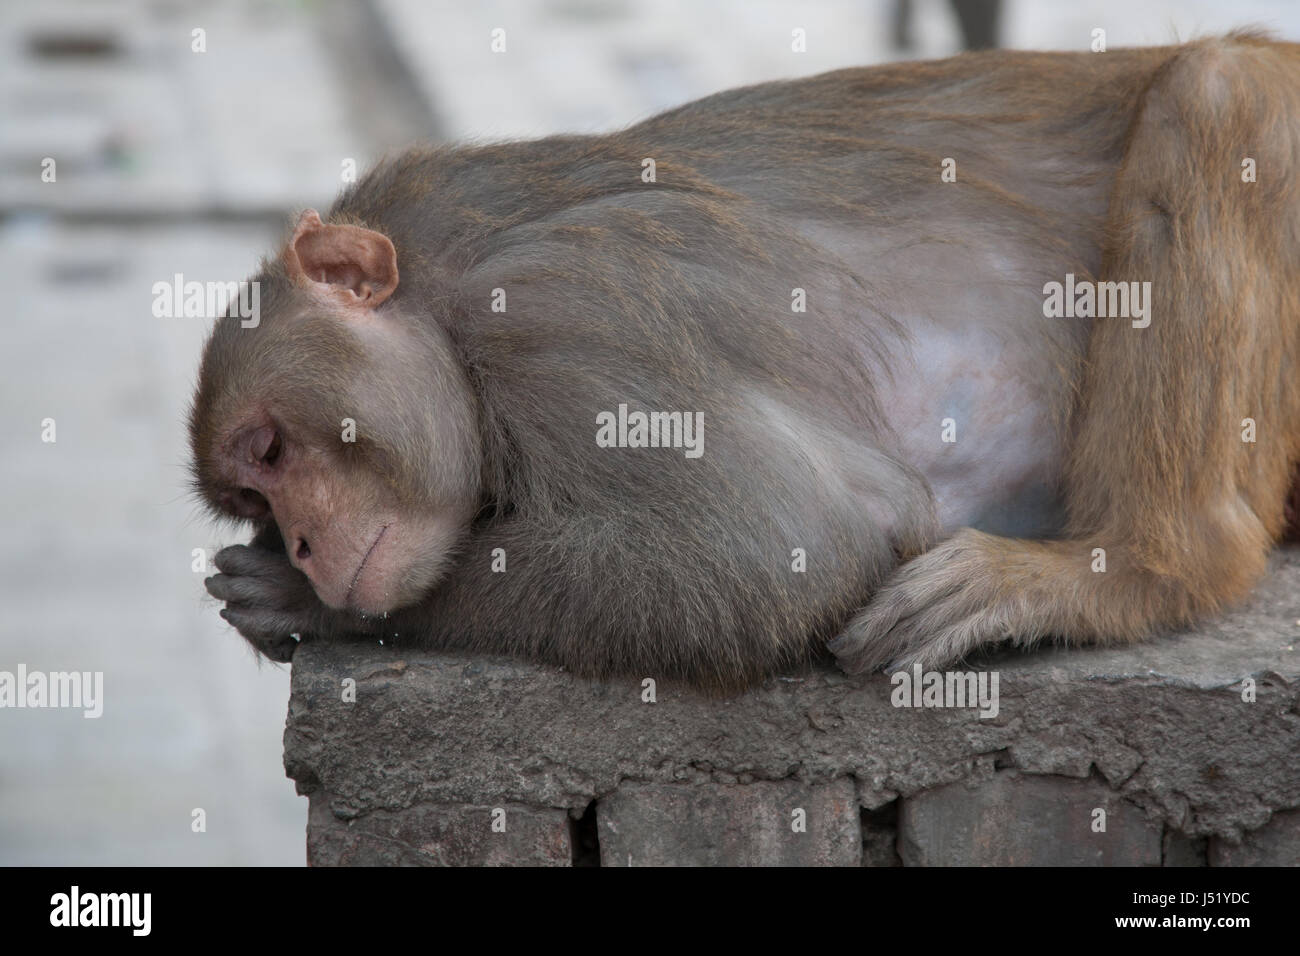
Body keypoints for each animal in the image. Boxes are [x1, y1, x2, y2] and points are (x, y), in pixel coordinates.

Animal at [189, 35, 1300, 697]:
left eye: (270, 449)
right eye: (250, 496)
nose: (303, 543)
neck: (453, 284)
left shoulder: (568, 311)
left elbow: (772, 546)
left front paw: (301, 606)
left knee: (1220, 92)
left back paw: (1132, 565)